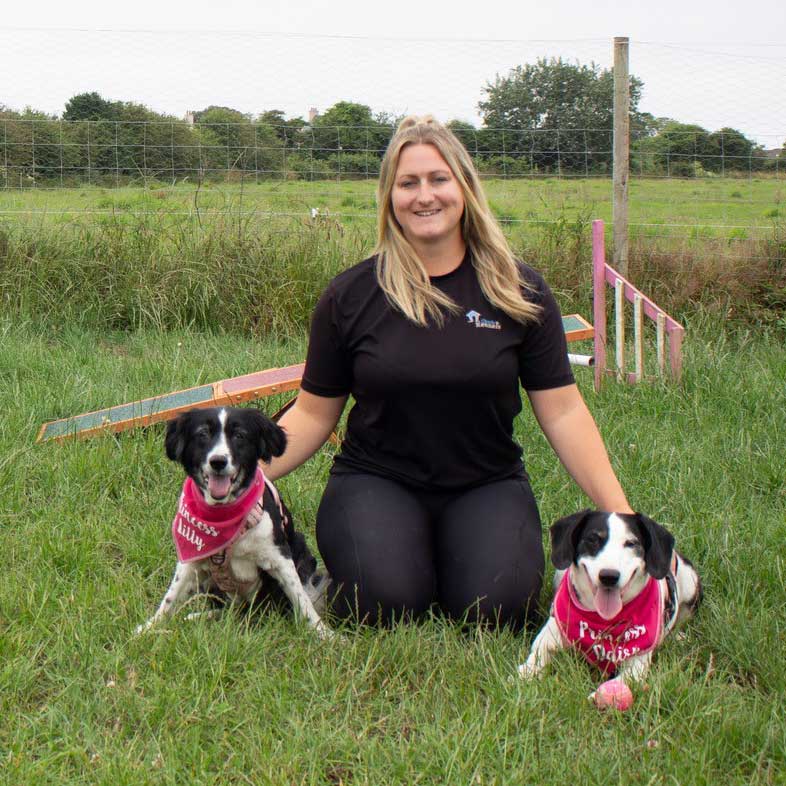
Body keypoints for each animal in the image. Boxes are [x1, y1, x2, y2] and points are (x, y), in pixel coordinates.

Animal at [136, 404, 330, 636]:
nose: (218, 461)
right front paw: (149, 628)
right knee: (230, 609)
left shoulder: (279, 556)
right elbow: (170, 598)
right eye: (202, 433)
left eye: (240, 435)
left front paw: (325, 634)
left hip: (299, 550)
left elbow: (302, 600)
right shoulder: (191, 562)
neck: (223, 513)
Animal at [520, 508, 700, 688]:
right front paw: (526, 674)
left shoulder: (636, 666)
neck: (603, 621)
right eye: (593, 539)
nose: (609, 576)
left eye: (631, 543)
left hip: (691, 584)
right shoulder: (549, 635)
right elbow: (536, 658)